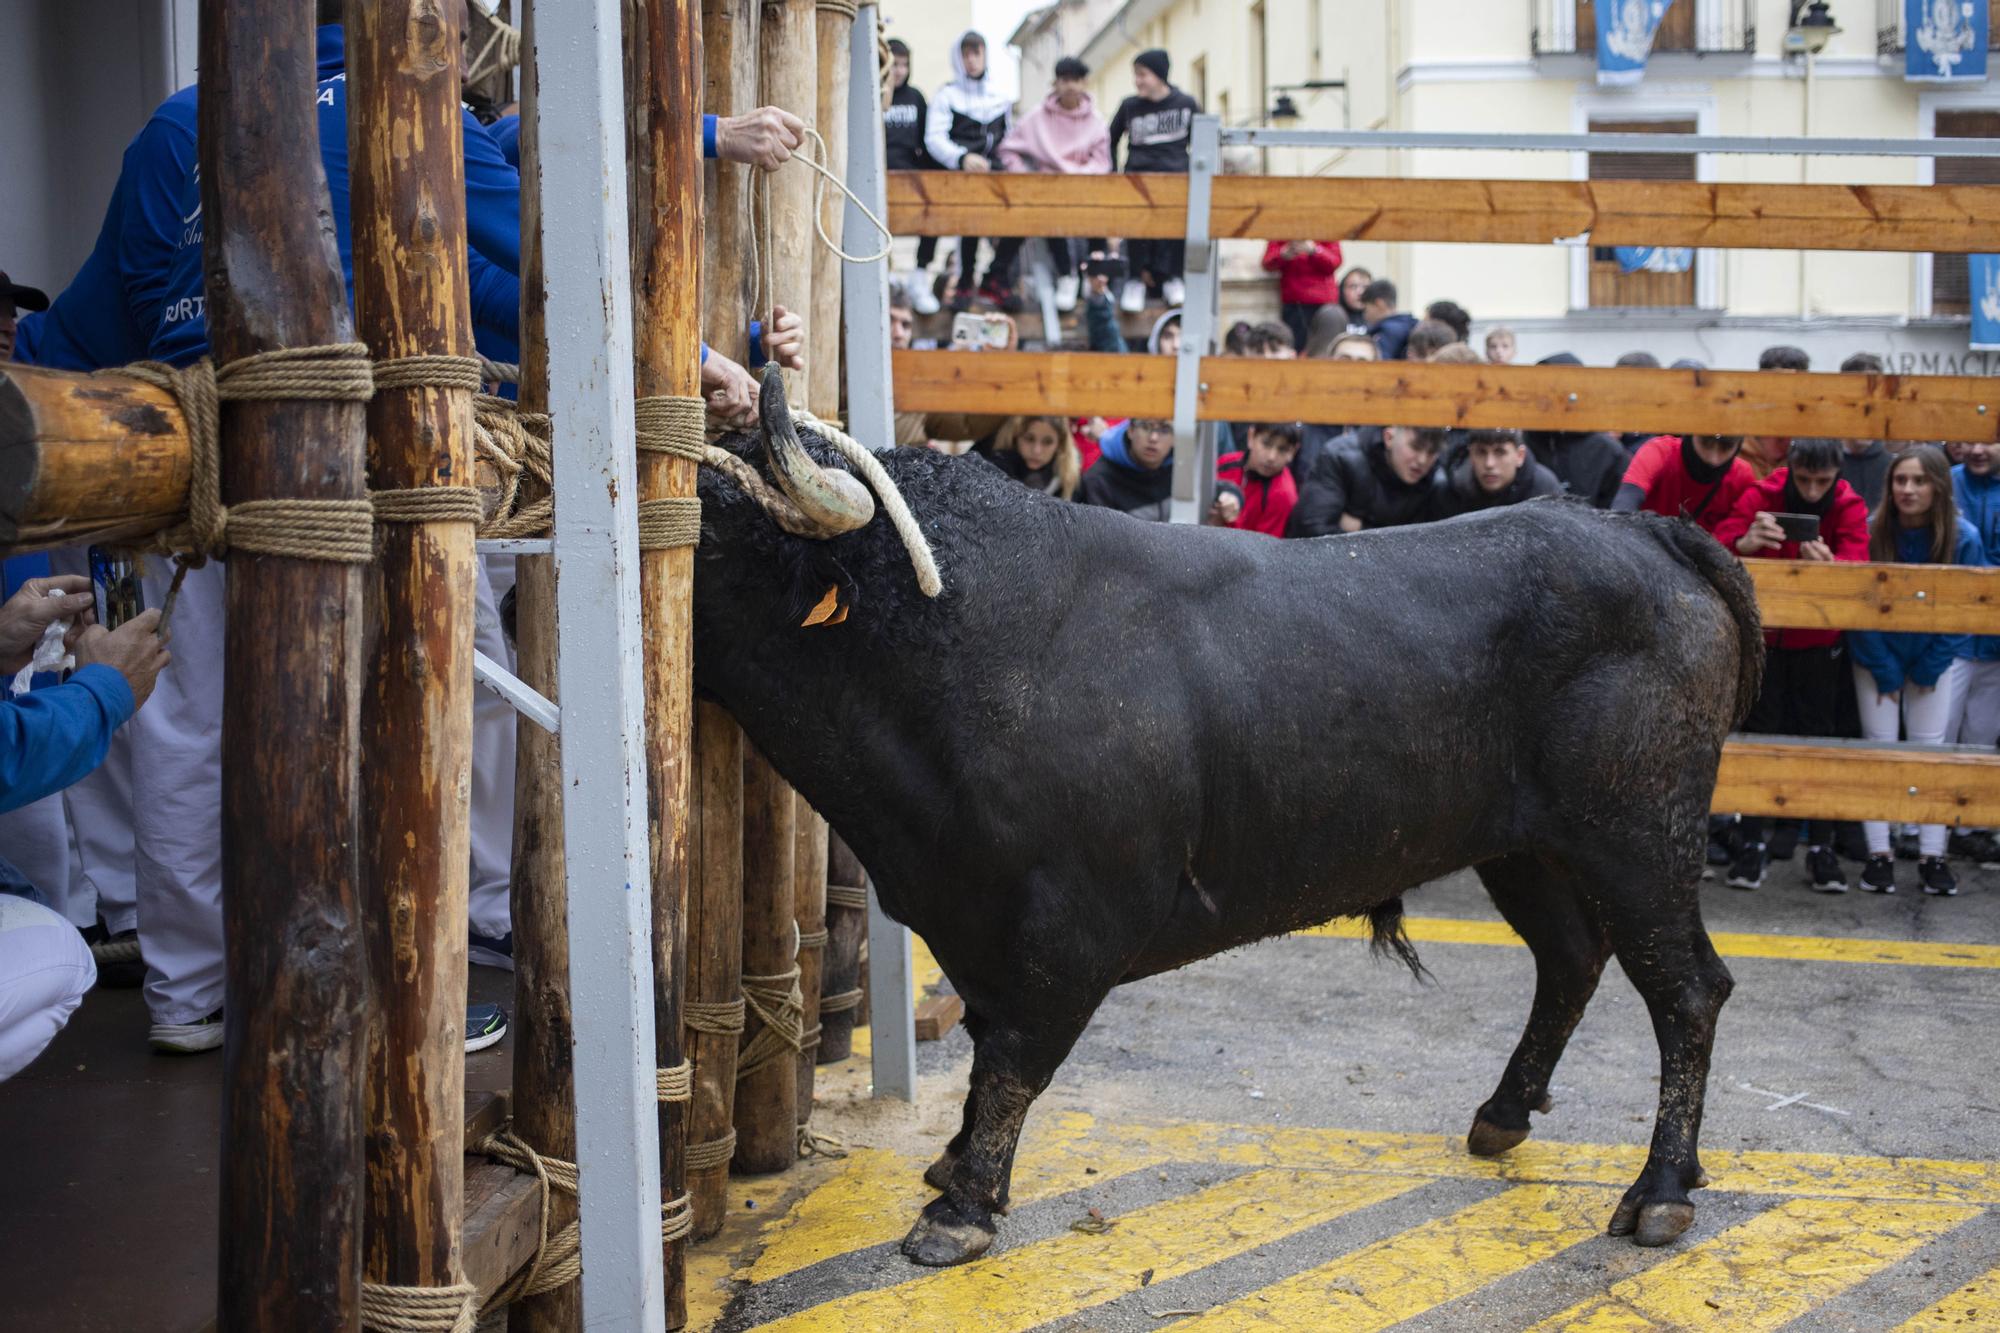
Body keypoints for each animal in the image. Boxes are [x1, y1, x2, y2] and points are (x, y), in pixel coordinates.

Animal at [696, 376, 1760, 1264]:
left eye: (712, 532)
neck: (964, 642)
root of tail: (1649, 536)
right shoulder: (965, 911)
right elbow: (988, 1039)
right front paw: (954, 1165)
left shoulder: (1071, 922)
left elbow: (1010, 1058)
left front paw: (960, 1210)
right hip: (1528, 849)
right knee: (1572, 959)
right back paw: (1505, 1112)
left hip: (1640, 840)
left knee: (1687, 991)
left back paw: (1661, 1189)